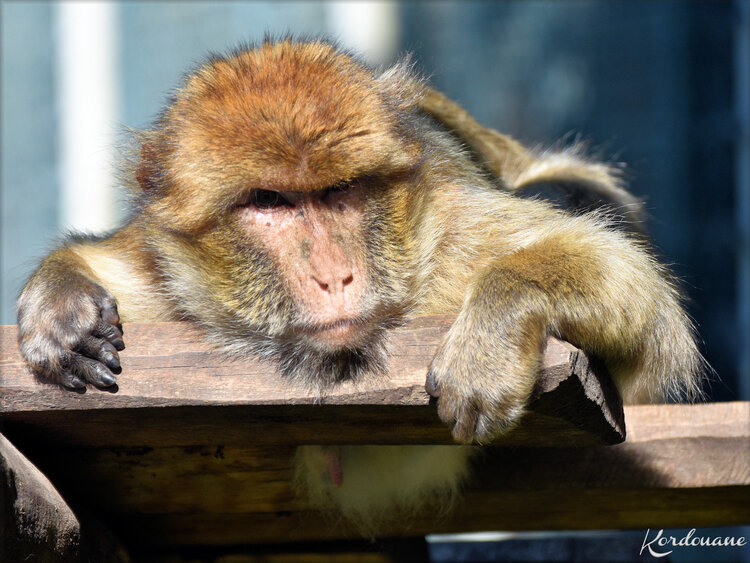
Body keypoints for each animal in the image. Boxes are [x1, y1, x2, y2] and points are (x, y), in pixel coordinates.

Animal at [16, 39, 704, 532]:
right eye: (269, 202)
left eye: (339, 192)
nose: (334, 275)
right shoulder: (164, 279)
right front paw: (62, 309)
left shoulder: (447, 237)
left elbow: (633, 289)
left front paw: (488, 344)